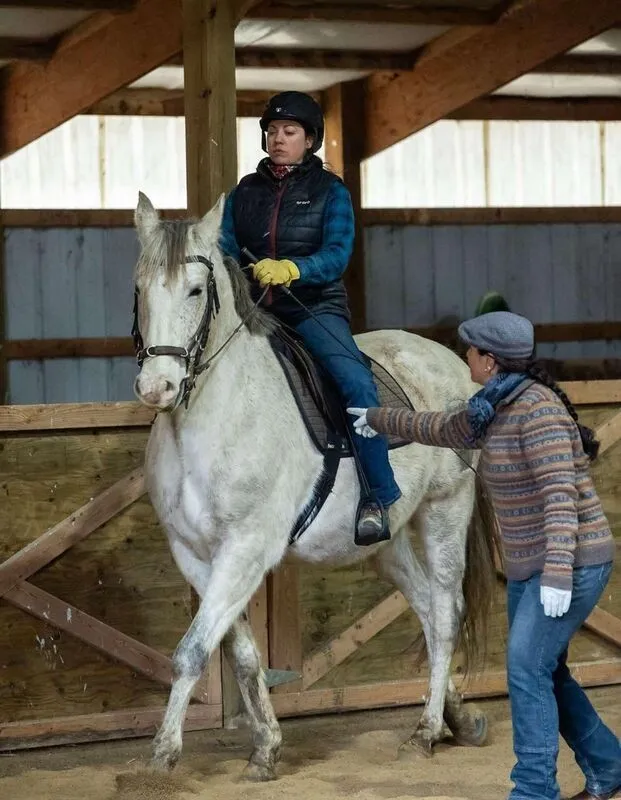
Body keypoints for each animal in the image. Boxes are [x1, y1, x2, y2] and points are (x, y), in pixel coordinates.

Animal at [131, 191, 499, 780]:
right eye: (140, 288)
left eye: (195, 289)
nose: (156, 387)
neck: (211, 419)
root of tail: (451, 364)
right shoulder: (196, 555)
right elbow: (239, 654)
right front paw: (266, 747)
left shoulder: (246, 548)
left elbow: (192, 652)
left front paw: (162, 756)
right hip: (387, 543)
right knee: (423, 606)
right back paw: (455, 717)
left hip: (446, 509)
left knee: (444, 614)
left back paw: (425, 732)